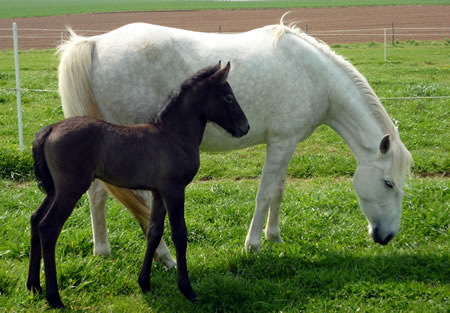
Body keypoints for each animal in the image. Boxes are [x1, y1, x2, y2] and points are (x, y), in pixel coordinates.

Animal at [59, 17, 412, 266]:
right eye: (389, 184)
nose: (387, 236)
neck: (314, 76)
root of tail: (94, 43)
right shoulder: (281, 143)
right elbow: (265, 193)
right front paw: (253, 245)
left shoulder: (286, 144)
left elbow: (278, 191)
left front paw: (274, 236)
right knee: (136, 201)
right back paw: (163, 256)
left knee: (98, 195)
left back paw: (102, 250)